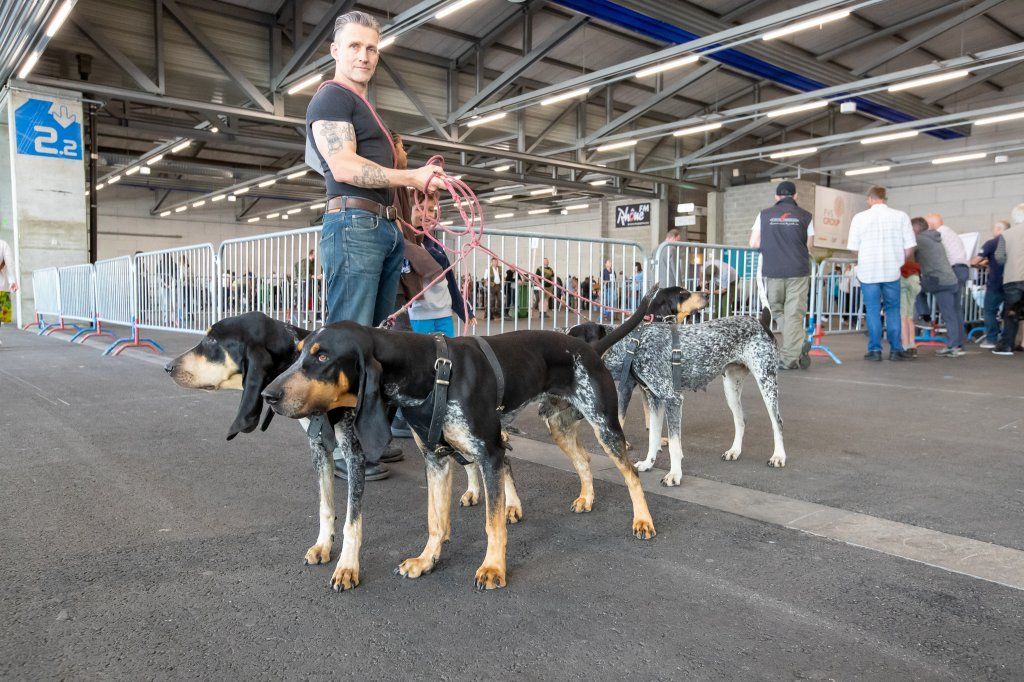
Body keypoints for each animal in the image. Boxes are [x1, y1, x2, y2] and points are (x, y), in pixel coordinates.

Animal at [258, 292, 655, 589]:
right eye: (298, 354)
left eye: (322, 356)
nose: (268, 395)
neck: (428, 371)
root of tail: (589, 348)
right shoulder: (435, 458)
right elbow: (435, 519)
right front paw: (427, 559)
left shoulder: (490, 452)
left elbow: (491, 523)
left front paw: (493, 567)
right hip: (558, 425)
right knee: (584, 460)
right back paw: (587, 498)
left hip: (604, 425)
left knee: (631, 473)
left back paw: (643, 521)